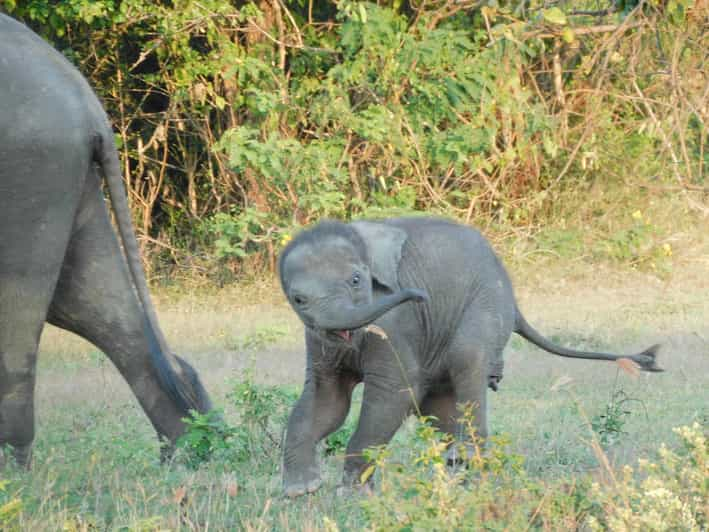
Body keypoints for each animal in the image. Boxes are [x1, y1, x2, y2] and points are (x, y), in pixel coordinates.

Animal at [0, 14, 210, 468]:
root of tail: (86, 102)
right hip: (61, 176)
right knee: (90, 305)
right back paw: (192, 447)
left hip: (31, 172)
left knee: (21, 308)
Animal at [276, 217, 660, 498]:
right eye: (298, 300)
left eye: (357, 280)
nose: (420, 296)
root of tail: (516, 306)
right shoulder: (317, 339)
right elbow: (327, 401)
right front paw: (301, 491)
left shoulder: (397, 324)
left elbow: (392, 393)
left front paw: (350, 494)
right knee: (439, 402)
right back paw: (461, 470)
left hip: (489, 303)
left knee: (468, 358)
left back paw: (466, 461)